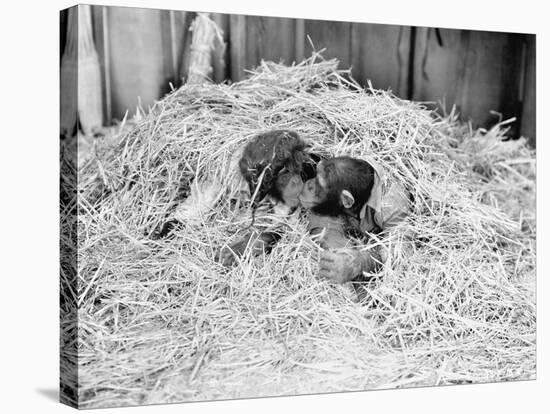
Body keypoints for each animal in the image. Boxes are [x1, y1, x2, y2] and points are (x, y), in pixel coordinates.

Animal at [300, 156, 412, 284]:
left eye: (318, 182)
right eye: (316, 175)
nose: (309, 184)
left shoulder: (394, 209)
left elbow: (393, 252)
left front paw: (347, 266)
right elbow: (332, 237)